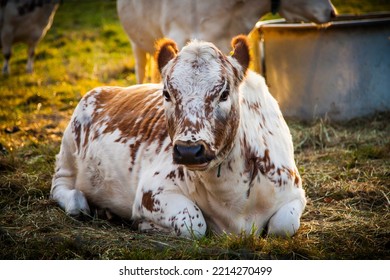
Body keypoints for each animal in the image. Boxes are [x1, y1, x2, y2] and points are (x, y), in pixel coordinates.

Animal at [51, 34, 308, 237]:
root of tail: (106, 89)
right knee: (62, 188)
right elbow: (192, 222)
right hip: (68, 153)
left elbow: (283, 226)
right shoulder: (152, 192)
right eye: (167, 93)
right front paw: (146, 225)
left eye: (224, 93)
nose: (189, 150)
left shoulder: (294, 193)